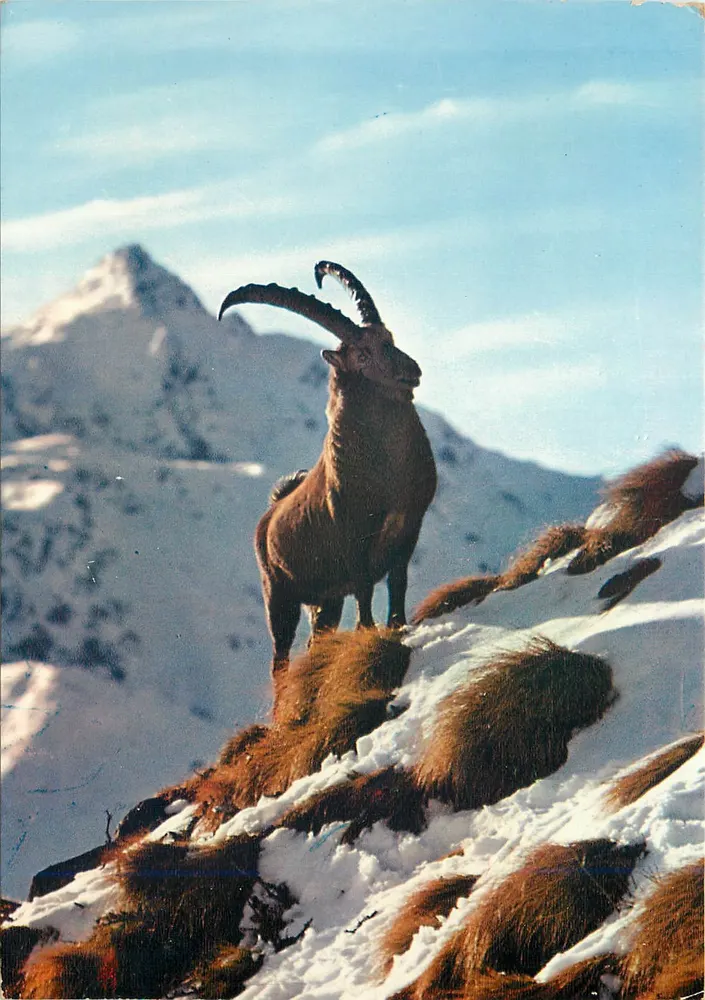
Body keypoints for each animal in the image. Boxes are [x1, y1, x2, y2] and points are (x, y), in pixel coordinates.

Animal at [219, 261, 437, 670]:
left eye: (389, 339)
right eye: (363, 355)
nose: (411, 370)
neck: (387, 472)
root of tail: (269, 513)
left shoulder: (410, 525)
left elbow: (397, 582)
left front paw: (398, 626)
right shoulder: (353, 537)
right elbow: (365, 591)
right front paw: (368, 632)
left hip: (325, 599)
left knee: (315, 638)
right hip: (279, 595)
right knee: (280, 657)